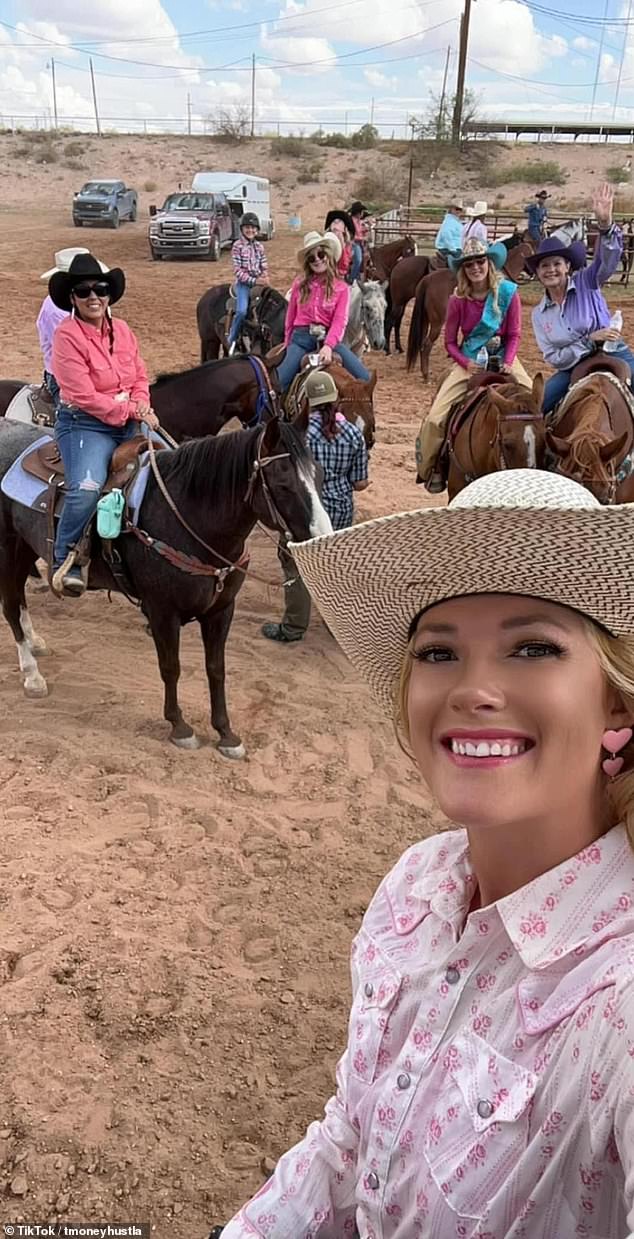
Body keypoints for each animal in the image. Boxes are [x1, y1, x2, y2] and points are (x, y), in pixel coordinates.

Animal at [406, 239, 534, 379]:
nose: (533, 274)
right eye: (531, 252)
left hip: (425, 320)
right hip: (437, 323)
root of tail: (427, 280)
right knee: (427, 345)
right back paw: (426, 375)